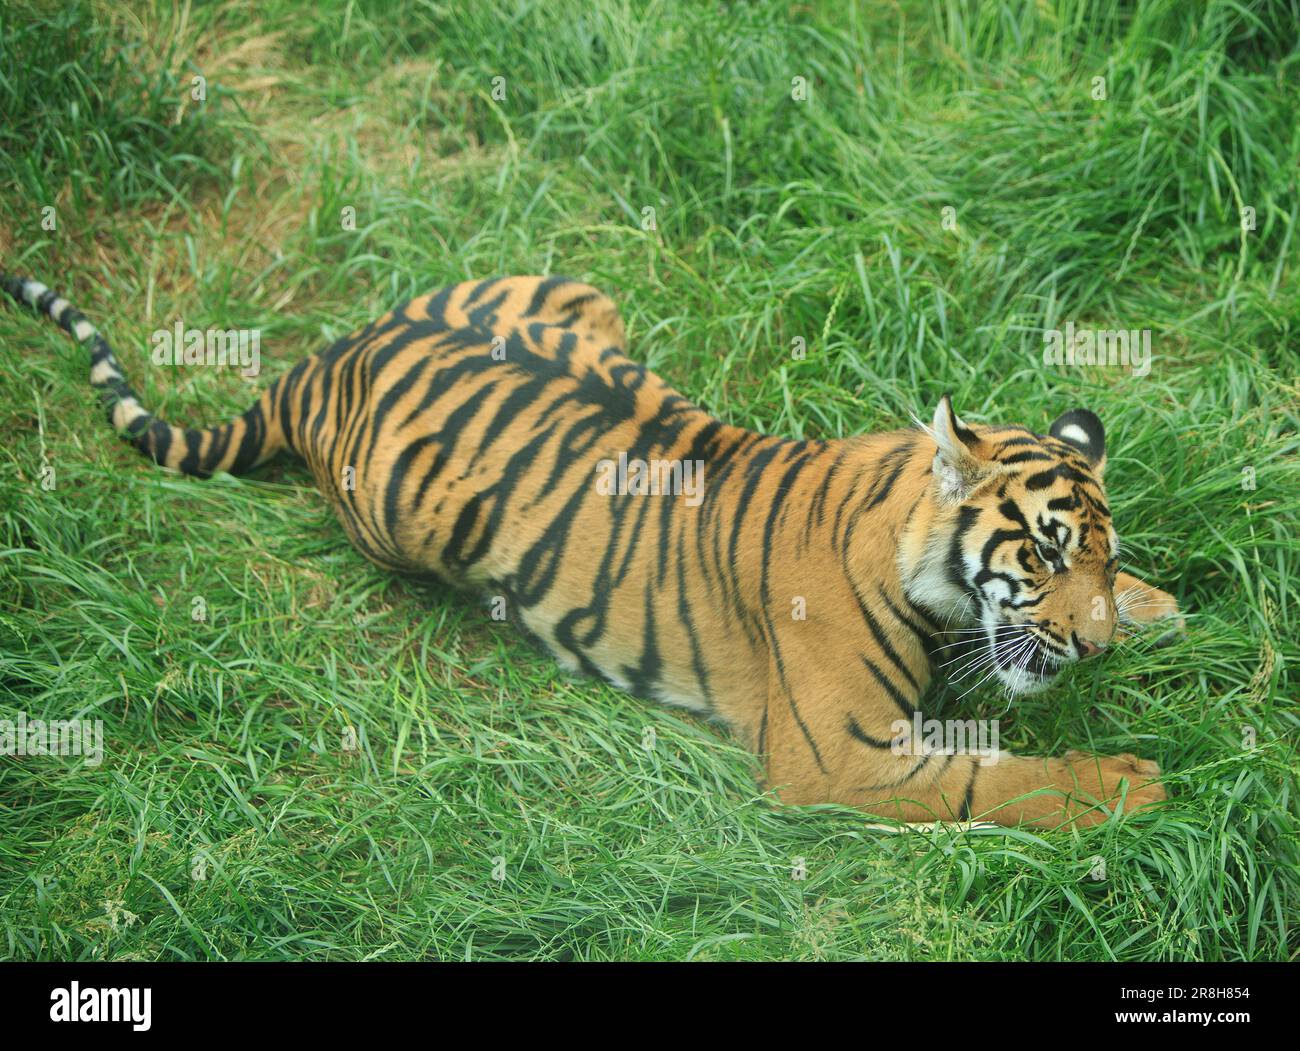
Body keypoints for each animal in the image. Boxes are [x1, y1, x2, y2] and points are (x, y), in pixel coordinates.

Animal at [0, 270, 1185, 827]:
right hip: (398, 518)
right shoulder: (840, 753)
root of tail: (333, 356)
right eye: (1041, 555)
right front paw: (1128, 787)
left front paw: (1155, 606)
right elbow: (994, 778)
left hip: (577, 295)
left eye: (1096, 556)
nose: (1091, 647)